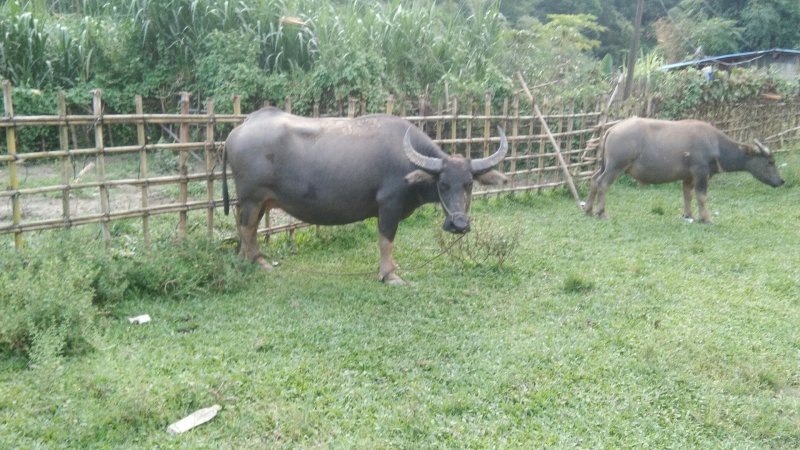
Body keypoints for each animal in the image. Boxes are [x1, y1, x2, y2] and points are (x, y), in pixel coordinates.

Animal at [584, 116, 784, 221]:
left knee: (594, 180)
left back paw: (588, 209)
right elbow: (701, 196)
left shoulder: (688, 177)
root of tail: (613, 129)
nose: (781, 181)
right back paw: (601, 212)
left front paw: (688, 215)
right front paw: (706, 219)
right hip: (615, 166)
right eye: (770, 162)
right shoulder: (701, 173)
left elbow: (687, 195)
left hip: (605, 165)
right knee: (603, 184)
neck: (715, 144)